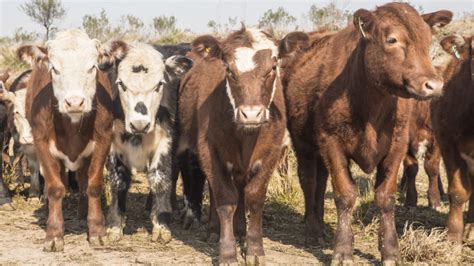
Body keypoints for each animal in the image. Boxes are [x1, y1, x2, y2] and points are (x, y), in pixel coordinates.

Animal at [19, 29, 115, 251]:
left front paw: (97, 231)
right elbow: (55, 187)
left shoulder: (104, 140)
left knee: (82, 181)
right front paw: (54, 234)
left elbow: (93, 185)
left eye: (92, 67)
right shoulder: (42, 143)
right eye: (54, 68)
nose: (74, 102)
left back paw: (82, 213)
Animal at [98, 40, 193, 242]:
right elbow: (118, 181)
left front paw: (161, 224)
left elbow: (160, 179)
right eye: (121, 84)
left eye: (159, 84)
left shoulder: (166, 141)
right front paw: (115, 224)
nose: (139, 124)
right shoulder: (114, 145)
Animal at [178, 26, 286, 262]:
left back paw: (240, 230)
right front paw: (227, 253)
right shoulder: (210, 153)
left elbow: (254, 198)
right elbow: (225, 200)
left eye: (272, 68)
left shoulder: (271, 155)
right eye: (228, 69)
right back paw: (213, 230)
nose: (251, 114)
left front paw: (254, 249)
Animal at [282, 2, 452, 264]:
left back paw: (320, 224)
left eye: (427, 39)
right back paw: (312, 230)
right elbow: (345, 194)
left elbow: (385, 197)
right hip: (304, 145)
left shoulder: (397, 145)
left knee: (320, 182)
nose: (434, 85)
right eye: (392, 39)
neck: (371, 103)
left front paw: (390, 250)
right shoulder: (331, 142)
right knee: (308, 181)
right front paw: (342, 250)